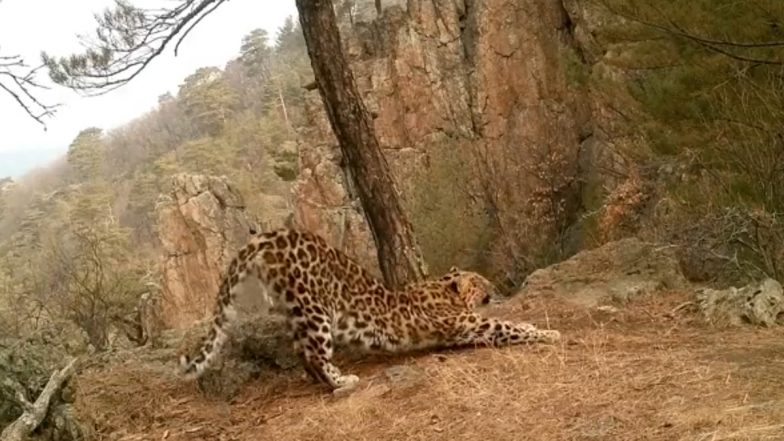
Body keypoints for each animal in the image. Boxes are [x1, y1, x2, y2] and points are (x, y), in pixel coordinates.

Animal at [179, 227, 561, 394]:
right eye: (479, 281)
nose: (493, 286)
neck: (442, 290)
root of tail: (269, 236)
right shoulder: (468, 326)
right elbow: (508, 326)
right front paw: (547, 332)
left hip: (294, 308)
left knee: (301, 351)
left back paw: (323, 382)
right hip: (315, 309)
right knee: (315, 353)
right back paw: (343, 381)